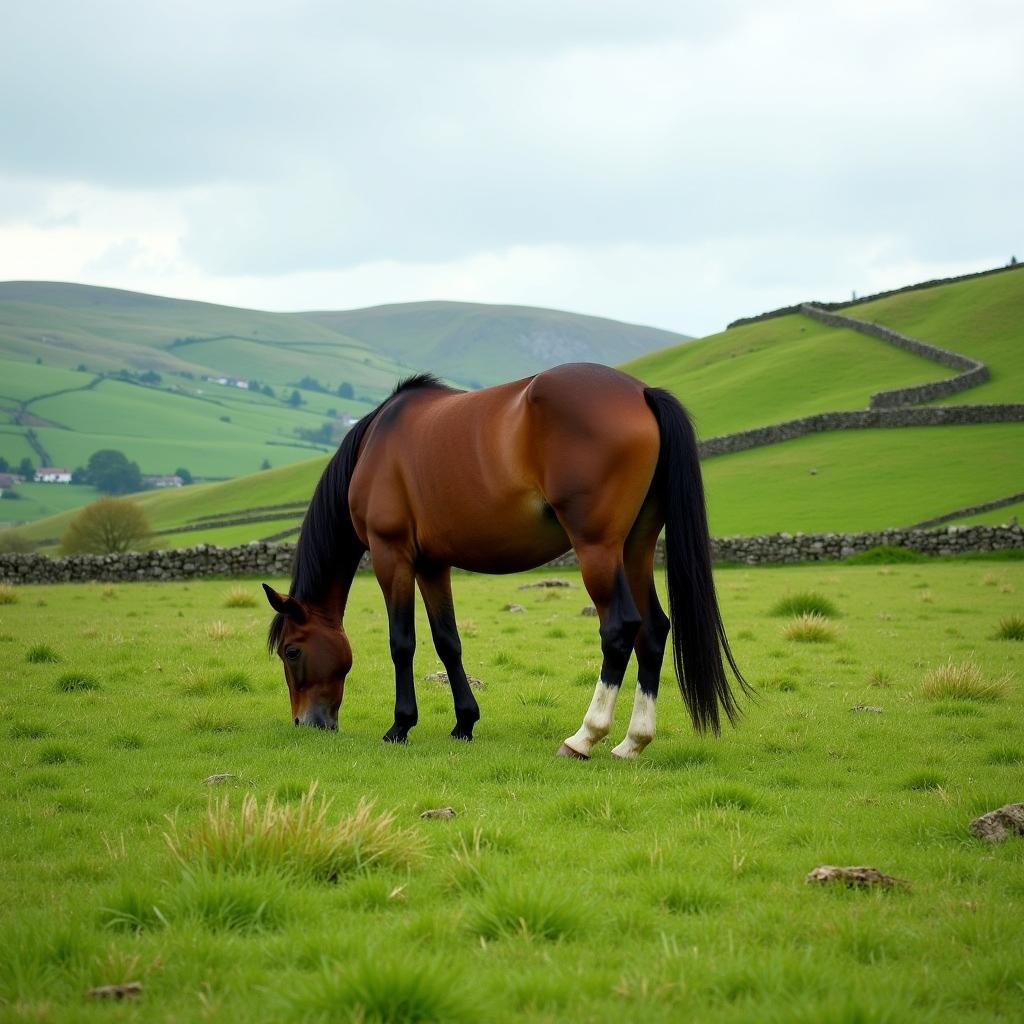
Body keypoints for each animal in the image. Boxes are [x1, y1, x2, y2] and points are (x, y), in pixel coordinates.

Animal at [262, 364, 745, 757]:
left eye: (291, 651)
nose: (307, 723)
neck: (376, 442)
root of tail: (642, 392)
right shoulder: (433, 563)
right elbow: (448, 641)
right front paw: (464, 722)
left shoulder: (391, 554)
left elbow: (403, 642)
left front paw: (400, 726)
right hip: (636, 549)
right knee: (654, 629)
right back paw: (632, 742)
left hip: (598, 549)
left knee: (620, 629)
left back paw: (584, 737)